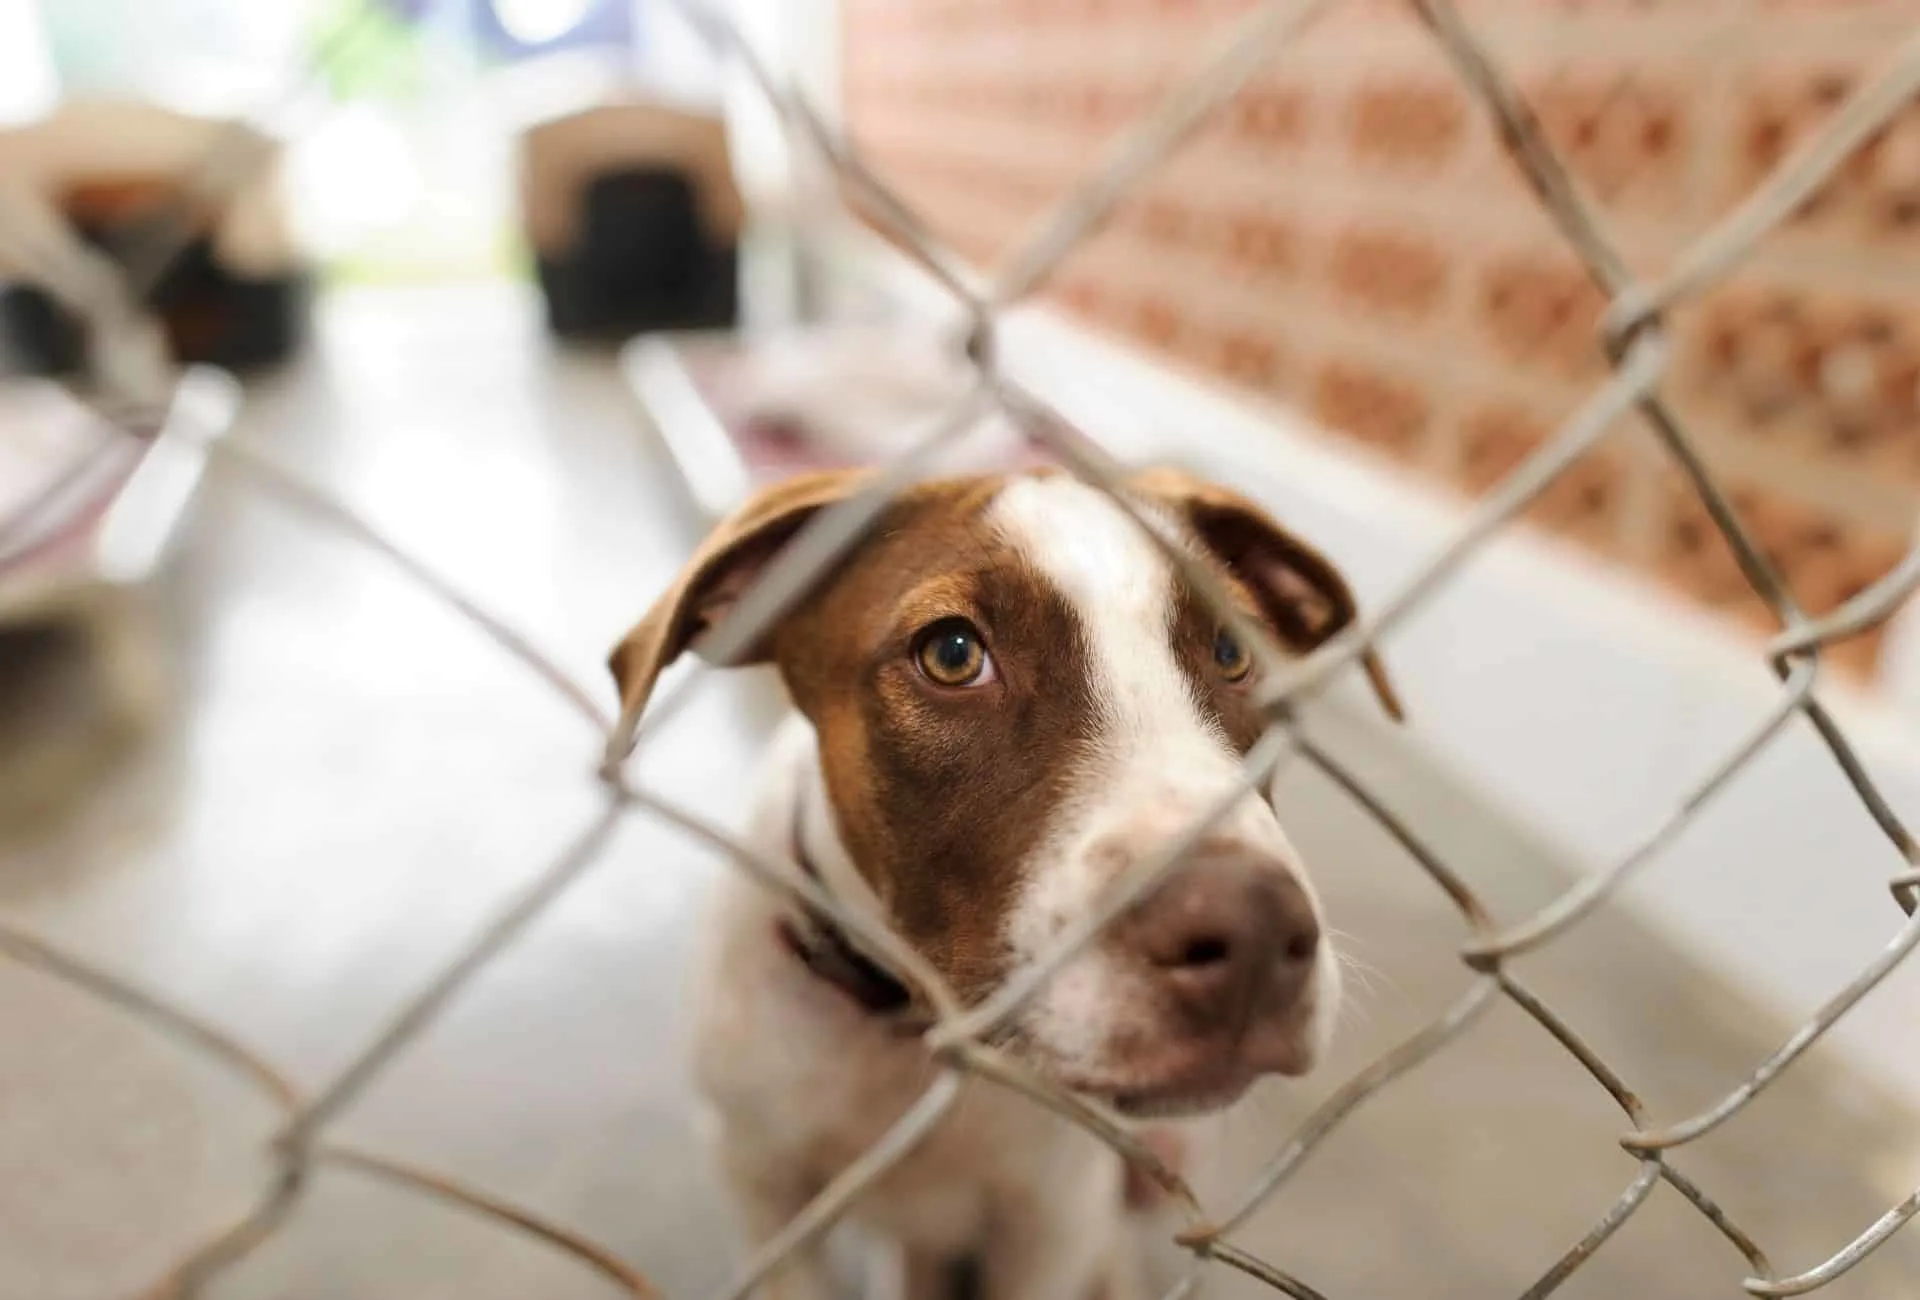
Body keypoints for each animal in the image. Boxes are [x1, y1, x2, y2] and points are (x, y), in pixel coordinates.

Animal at [606, 460, 1405, 1290]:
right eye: (952, 653)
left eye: (1231, 653)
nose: (1254, 936)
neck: (906, 1037)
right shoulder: (759, 1177)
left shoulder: (1052, 1219)